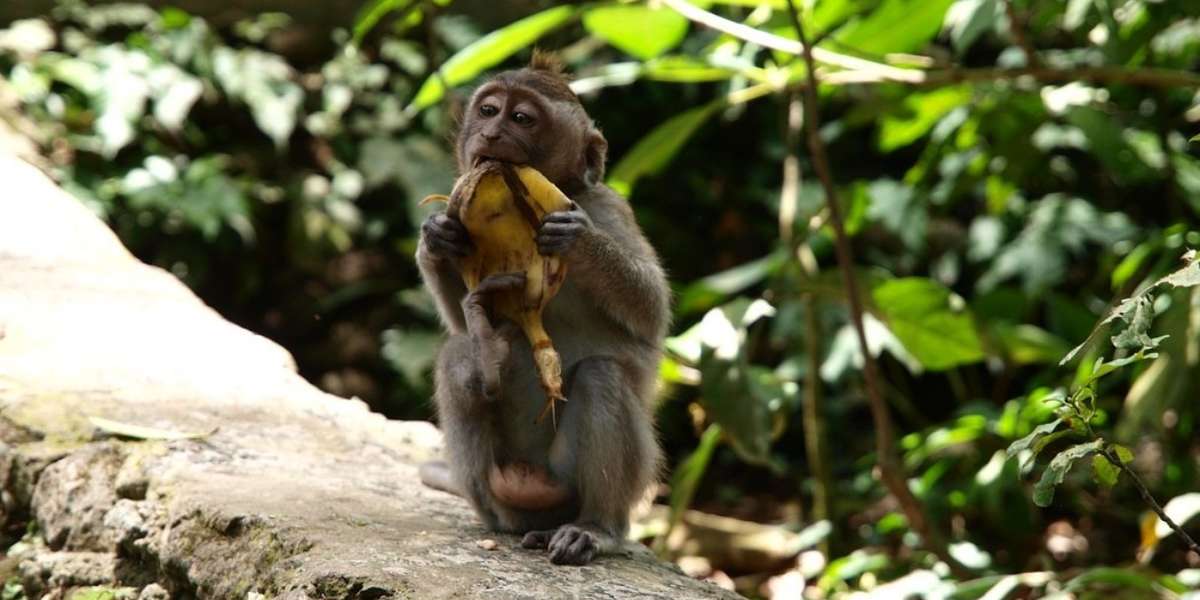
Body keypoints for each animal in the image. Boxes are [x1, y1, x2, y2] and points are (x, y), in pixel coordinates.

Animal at [415, 53, 670, 566]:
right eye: (488, 110)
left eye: (521, 118)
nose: (492, 134)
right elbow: (456, 317)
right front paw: (436, 238)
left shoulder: (610, 207)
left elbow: (652, 310)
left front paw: (578, 239)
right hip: (491, 487)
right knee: (457, 355)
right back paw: (485, 355)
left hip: (572, 481)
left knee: (601, 376)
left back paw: (595, 529)